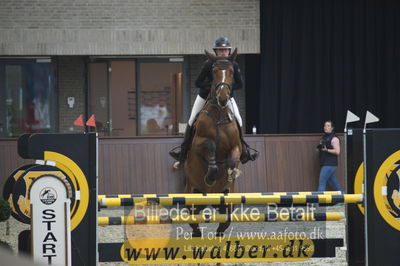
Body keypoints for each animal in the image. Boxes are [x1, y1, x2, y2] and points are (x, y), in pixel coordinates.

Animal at [184, 48, 242, 237]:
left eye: (231, 71)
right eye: (214, 71)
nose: (223, 98)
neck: (218, 115)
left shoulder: (236, 147)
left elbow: (232, 158)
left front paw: (229, 174)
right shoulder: (198, 143)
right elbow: (210, 146)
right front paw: (211, 176)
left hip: (228, 206)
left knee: (223, 225)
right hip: (191, 197)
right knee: (194, 224)